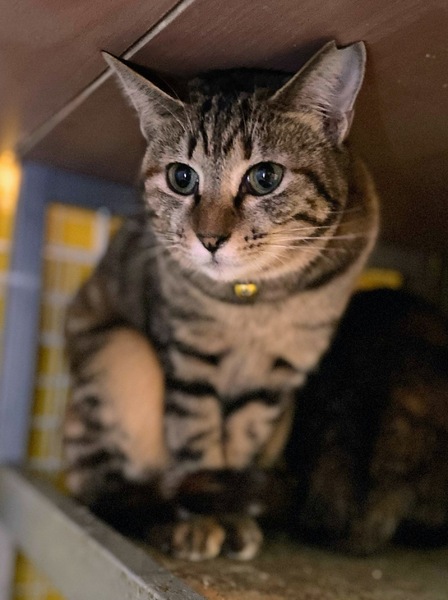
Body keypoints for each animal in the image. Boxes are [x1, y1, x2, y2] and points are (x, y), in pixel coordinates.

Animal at [63, 40, 379, 560]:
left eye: (265, 177)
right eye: (181, 177)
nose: (210, 239)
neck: (254, 302)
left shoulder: (278, 376)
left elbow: (240, 445)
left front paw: (230, 511)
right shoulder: (187, 357)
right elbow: (197, 443)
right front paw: (207, 520)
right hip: (120, 355)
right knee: (111, 493)